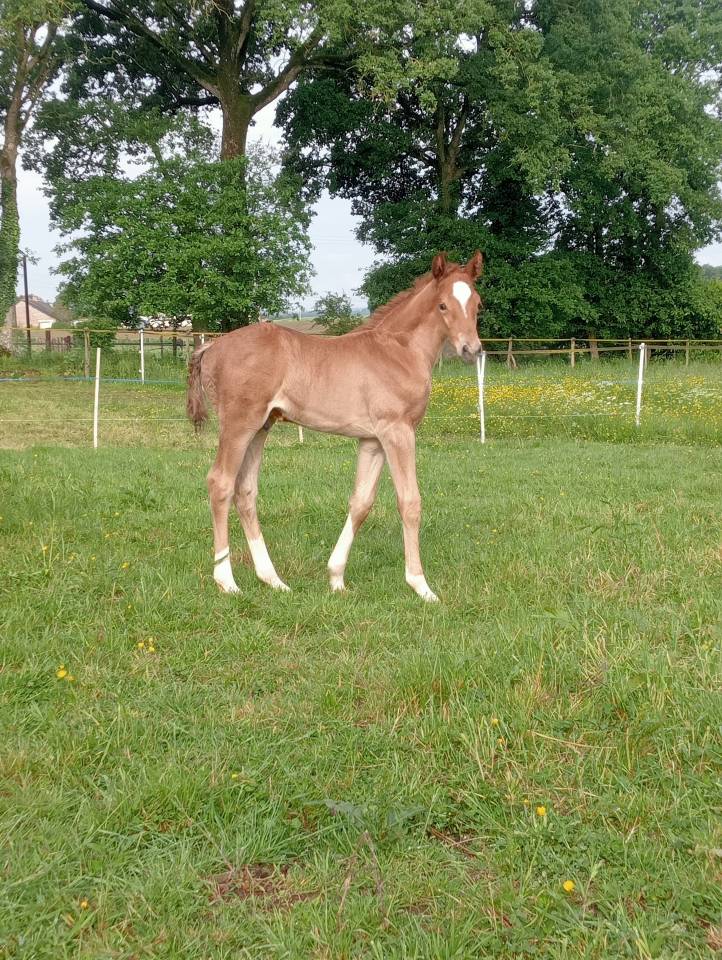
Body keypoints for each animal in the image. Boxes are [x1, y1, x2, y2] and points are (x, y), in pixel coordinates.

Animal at [186, 250, 484, 602]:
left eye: (478, 304)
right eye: (442, 305)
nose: (471, 350)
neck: (398, 351)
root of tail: (211, 347)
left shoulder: (373, 440)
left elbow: (361, 503)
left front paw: (336, 577)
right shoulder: (398, 431)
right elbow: (410, 502)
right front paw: (421, 586)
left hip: (260, 429)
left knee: (245, 491)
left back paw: (273, 580)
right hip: (238, 425)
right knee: (220, 483)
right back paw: (227, 581)